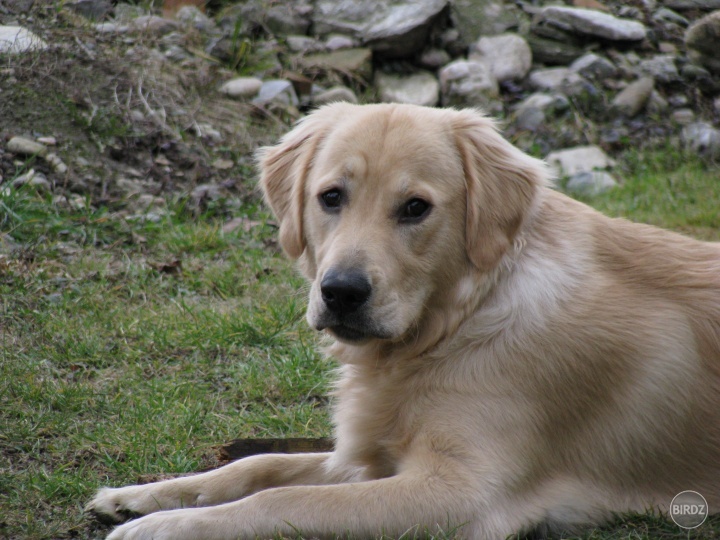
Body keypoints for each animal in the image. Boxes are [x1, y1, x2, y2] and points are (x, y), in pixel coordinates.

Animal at [88, 103, 720, 536]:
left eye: (416, 207)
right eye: (331, 197)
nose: (341, 292)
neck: (457, 324)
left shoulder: (462, 493)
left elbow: (281, 500)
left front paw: (162, 528)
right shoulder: (366, 458)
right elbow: (258, 465)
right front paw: (143, 497)